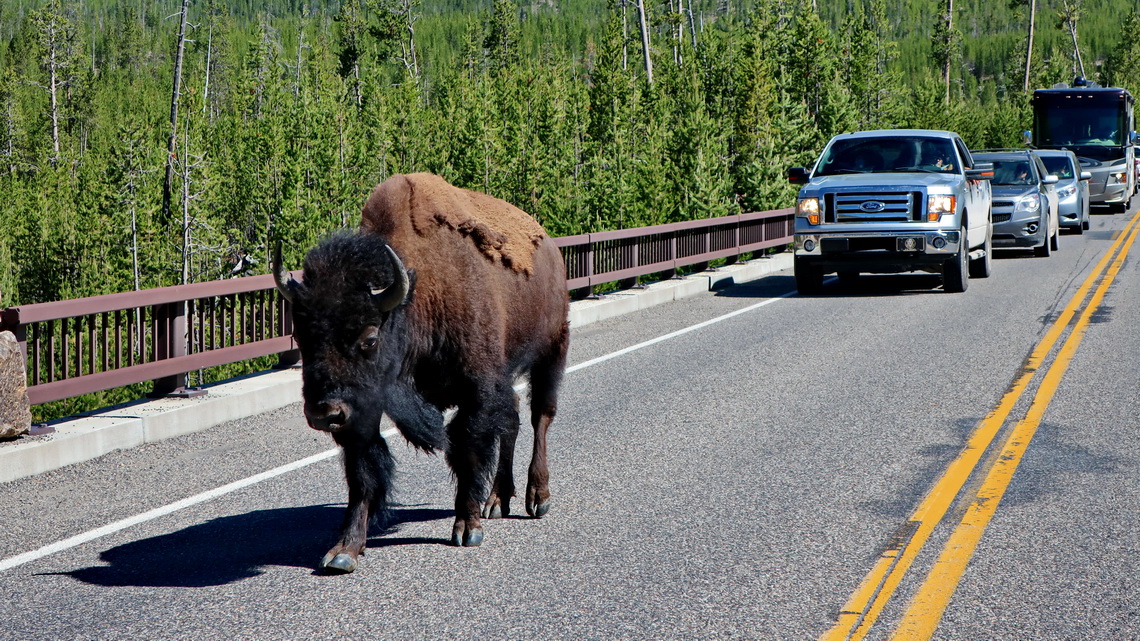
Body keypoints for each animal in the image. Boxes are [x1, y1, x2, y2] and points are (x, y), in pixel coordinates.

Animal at [267, 172, 570, 570]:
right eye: (301, 337)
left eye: (370, 338)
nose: (324, 413)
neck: (417, 299)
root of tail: (549, 246)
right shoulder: (365, 407)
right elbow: (362, 472)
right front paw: (344, 551)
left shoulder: (477, 390)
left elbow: (467, 450)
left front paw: (467, 528)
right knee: (513, 420)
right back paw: (497, 500)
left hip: (552, 349)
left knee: (540, 417)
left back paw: (538, 497)